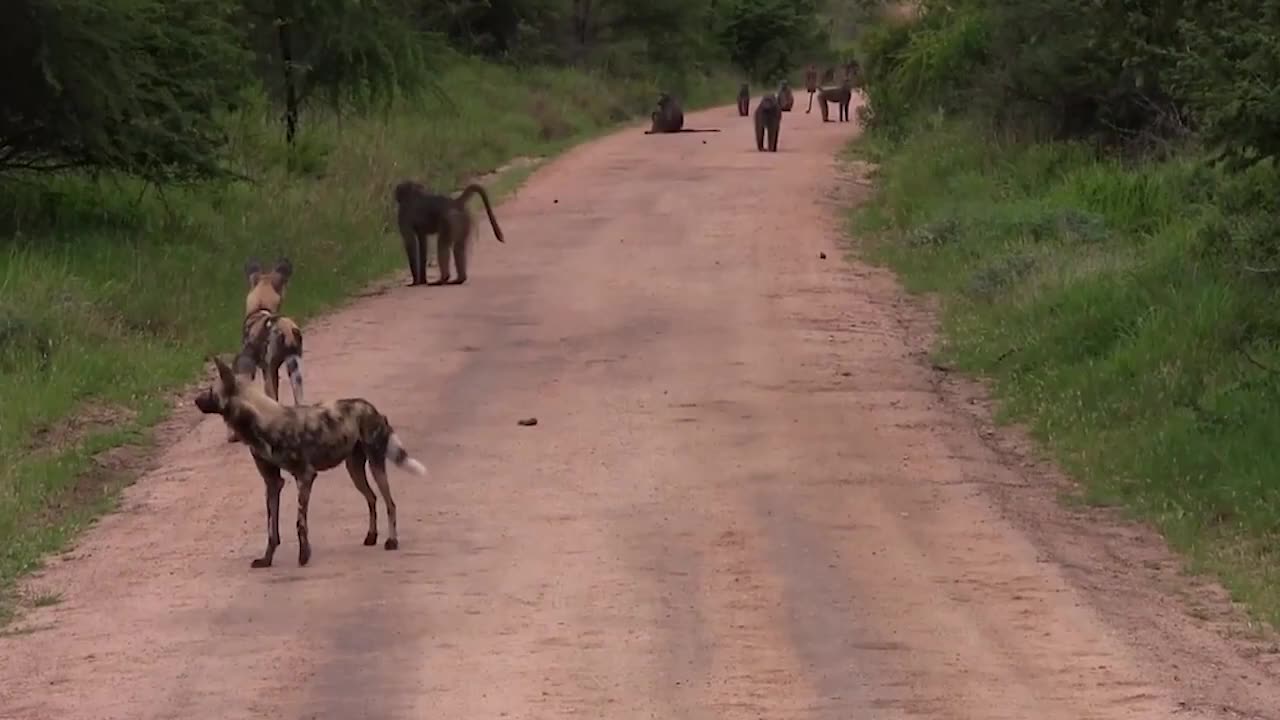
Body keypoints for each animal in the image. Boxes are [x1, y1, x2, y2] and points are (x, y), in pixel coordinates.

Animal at [192, 351, 427, 566]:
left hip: (376, 465)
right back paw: (371, 537)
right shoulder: (273, 483)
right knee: (372, 498)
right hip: (354, 470)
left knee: (390, 503)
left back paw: (392, 541)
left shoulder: (305, 476)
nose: (195, 399)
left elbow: (300, 523)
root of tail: (371, 408)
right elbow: (272, 530)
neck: (259, 422)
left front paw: (304, 556)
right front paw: (267, 559)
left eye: (211, 391)